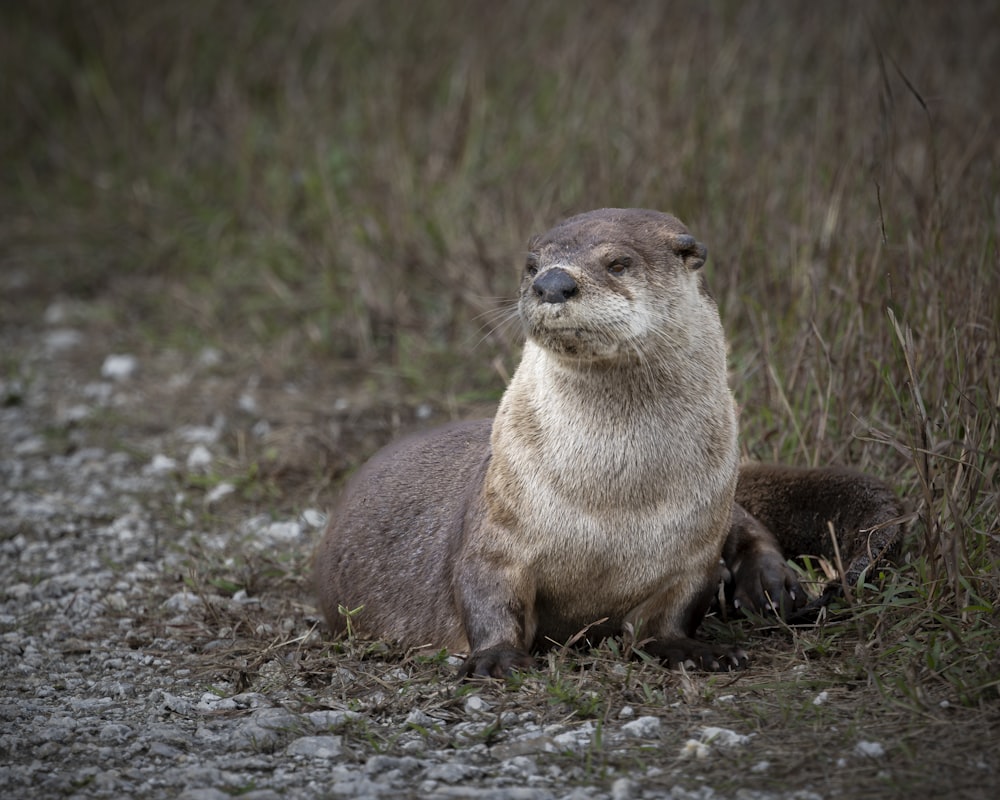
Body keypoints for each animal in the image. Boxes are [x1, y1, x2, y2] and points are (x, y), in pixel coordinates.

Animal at [314, 206, 908, 676]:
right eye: (531, 264)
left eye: (617, 262)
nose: (553, 283)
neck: (611, 500)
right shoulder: (497, 529)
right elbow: (487, 592)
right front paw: (496, 659)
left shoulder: (692, 547)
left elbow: (668, 612)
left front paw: (692, 650)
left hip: (726, 500)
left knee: (751, 527)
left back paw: (768, 587)